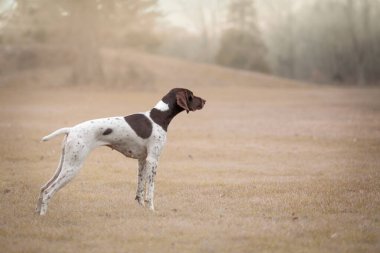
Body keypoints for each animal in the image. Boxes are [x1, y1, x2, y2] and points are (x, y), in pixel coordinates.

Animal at [36, 88, 205, 215]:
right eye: (191, 95)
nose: (205, 101)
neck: (159, 116)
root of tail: (71, 129)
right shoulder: (153, 160)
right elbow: (150, 190)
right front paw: (151, 209)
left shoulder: (142, 161)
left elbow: (140, 190)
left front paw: (142, 209)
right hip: (73, 167)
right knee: (48, 191)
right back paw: (43, 215)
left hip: (65, 165)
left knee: (43, 188)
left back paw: (37, 214)